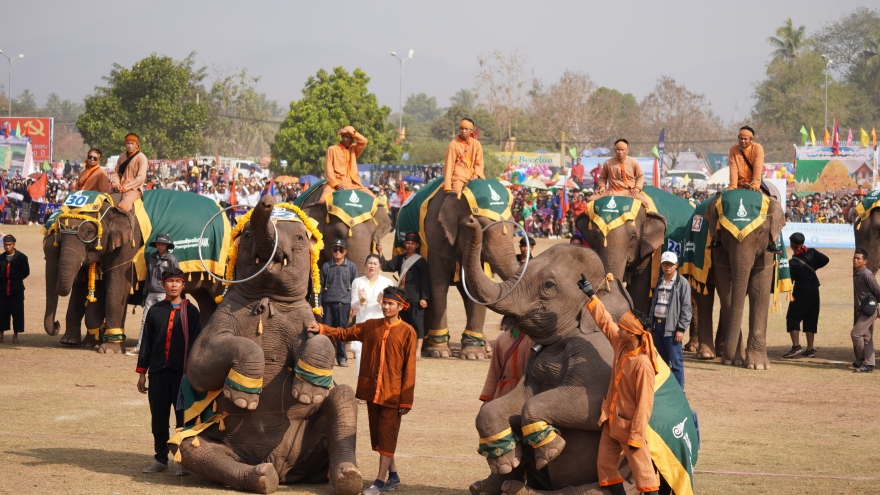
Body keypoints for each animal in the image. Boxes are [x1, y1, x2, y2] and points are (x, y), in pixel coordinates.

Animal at [46, 191, 222, 352]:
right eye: (60, 231)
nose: (56, 324)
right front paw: (86, 343)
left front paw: (109, 349)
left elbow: (117, 287)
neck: (111, 201)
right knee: (205, 300)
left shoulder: (130, 242)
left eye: (89, 232)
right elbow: (98, 288)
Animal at [179, 196, 360, 494]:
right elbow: (198, 367)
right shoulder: (222, 317)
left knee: (343, 397)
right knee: (189, 447)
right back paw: (263, 477)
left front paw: (308, 395)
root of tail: (282, 467)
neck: (267, 299)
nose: (266, 200)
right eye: (247, 235)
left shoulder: (302, 317)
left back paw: (349, 477)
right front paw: (243, 398)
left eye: (299, 237)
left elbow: (321, 338)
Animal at [458, 217, 644, 495]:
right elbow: (511, 401)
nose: (470, 221)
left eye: (548, 285)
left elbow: (588, 406)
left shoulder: (600, 354)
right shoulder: (535, 364)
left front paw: (551, 451)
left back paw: (519, 490)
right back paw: (488, 486)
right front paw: (505, 461)